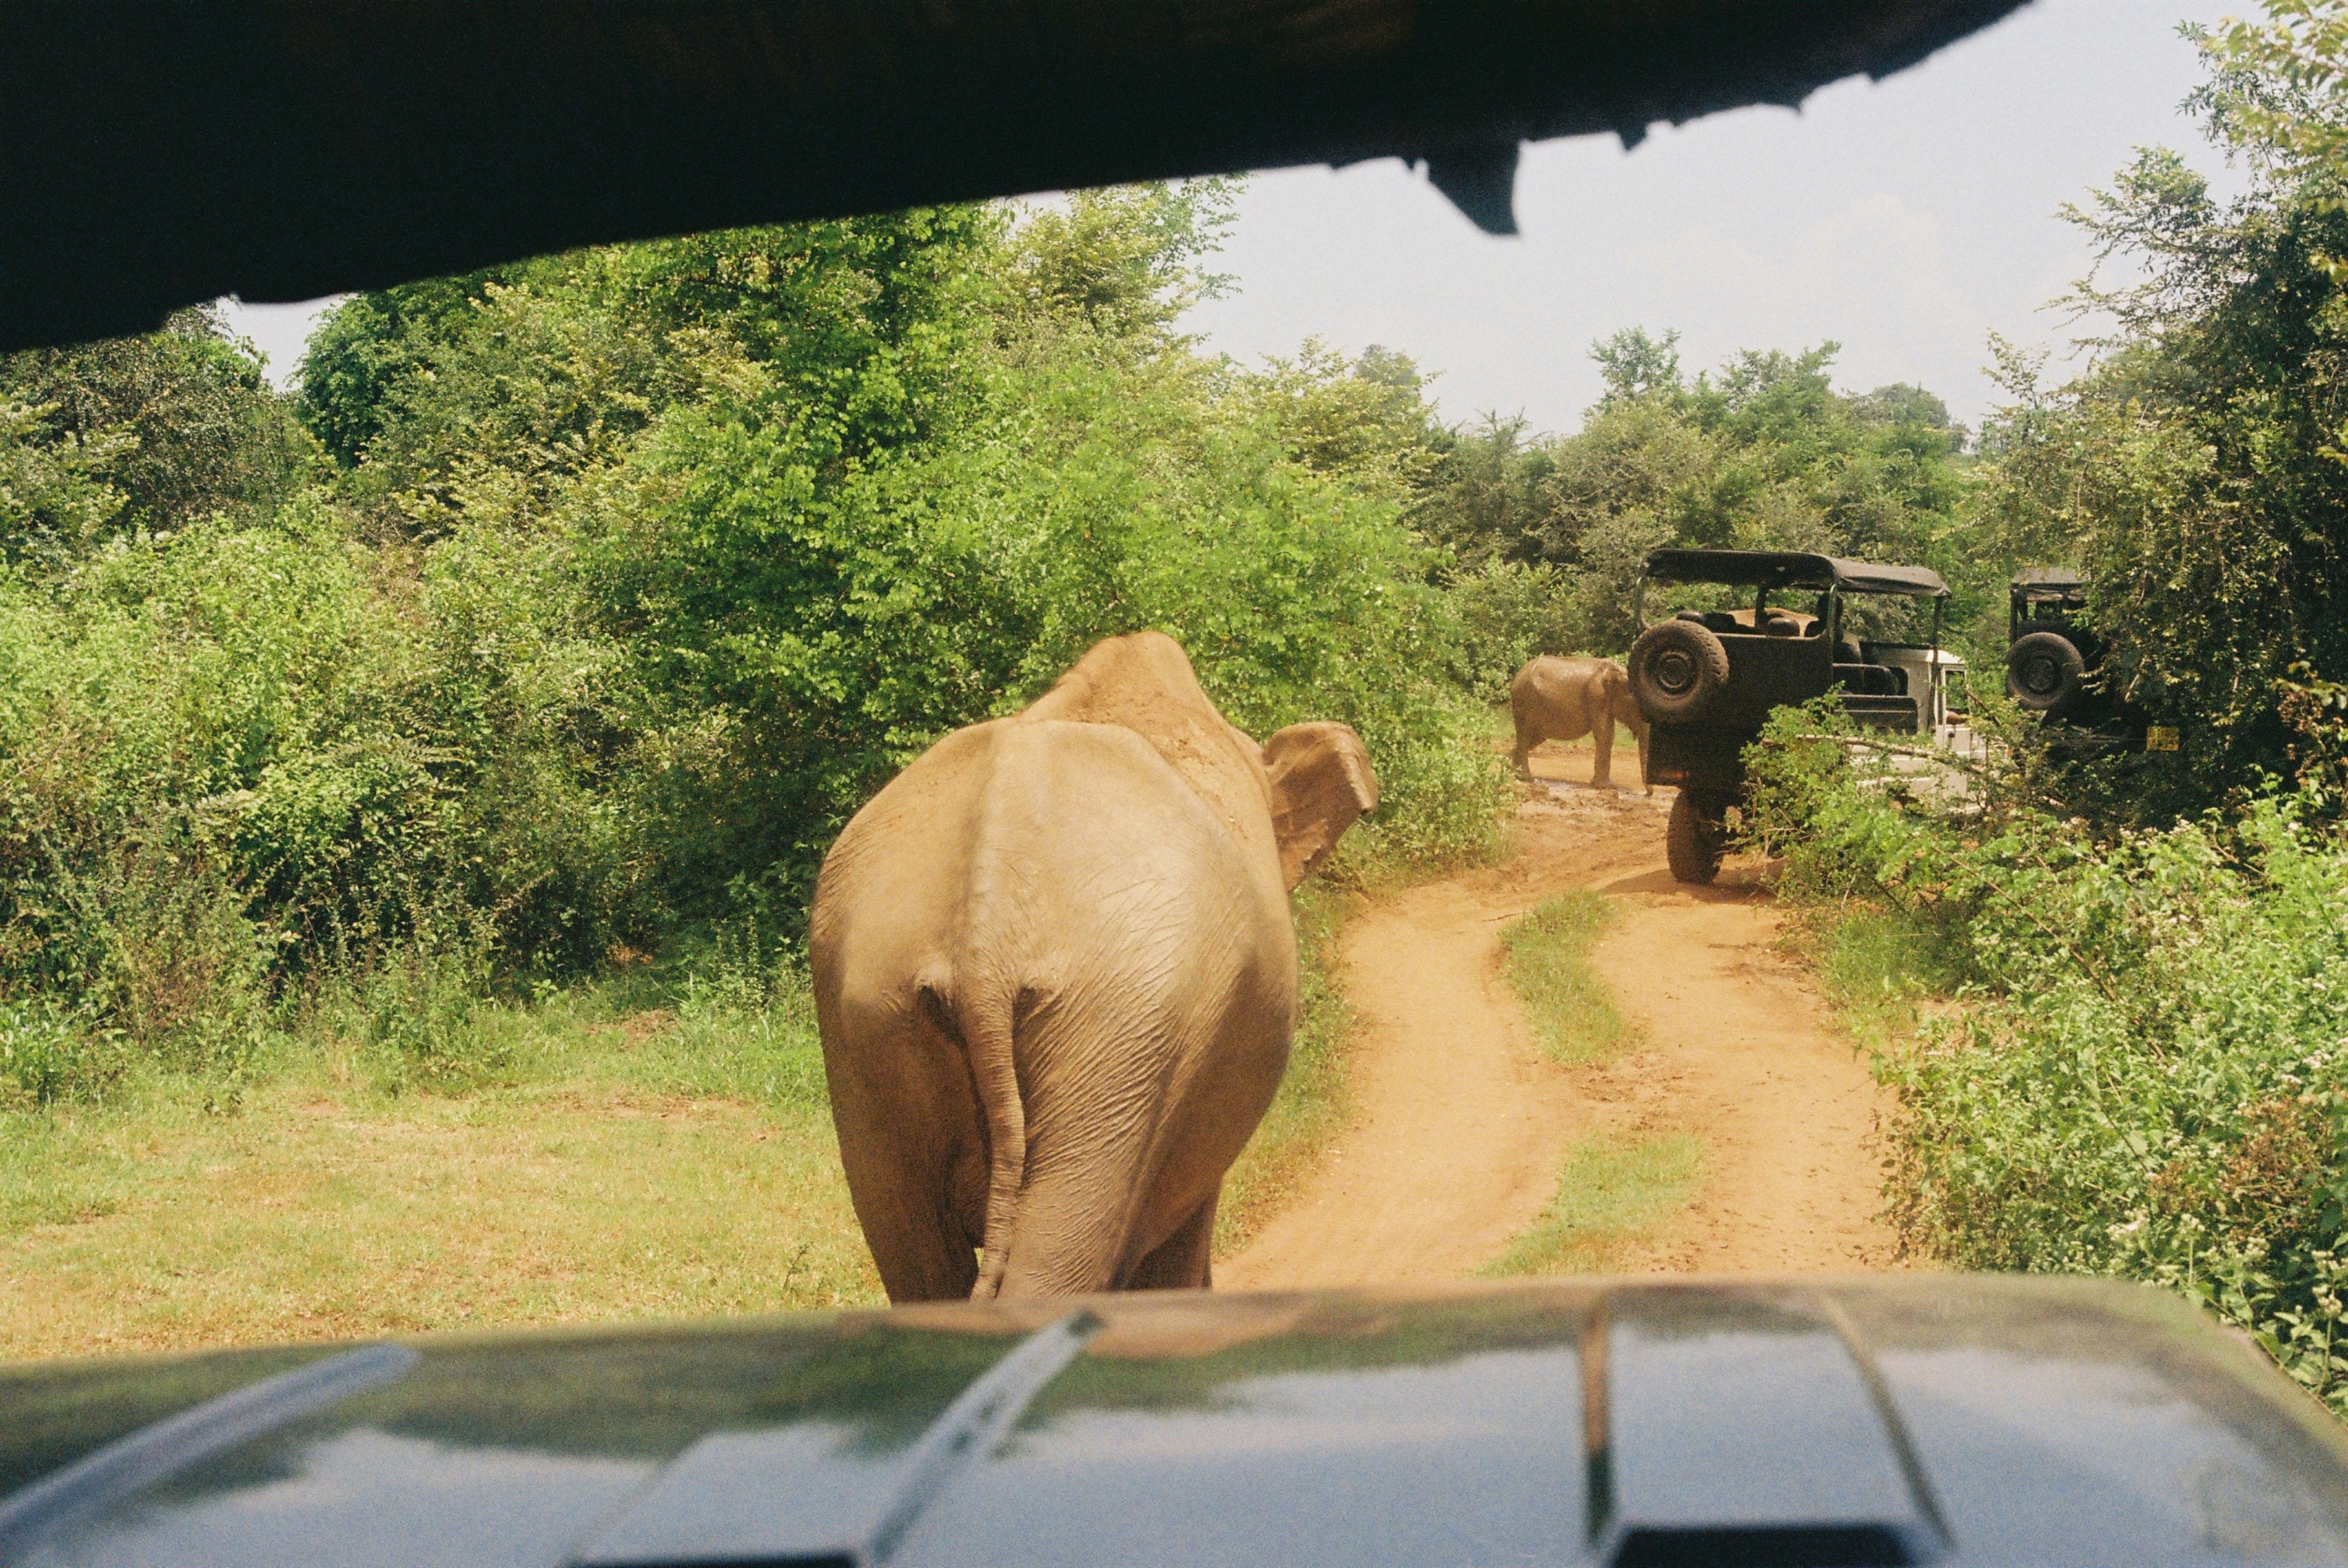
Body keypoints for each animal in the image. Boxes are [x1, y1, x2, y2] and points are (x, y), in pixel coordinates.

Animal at [1509, 655, 1649, 792]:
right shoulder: (1597, 697)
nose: (1647, 794)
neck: (1619, 672)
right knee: (1525, 737)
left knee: (1533, 739)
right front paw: (1607, 787)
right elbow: (1606, 735)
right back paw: (1526, 778)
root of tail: (1518, 676)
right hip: (1524, 702)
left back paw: (1512, 771)